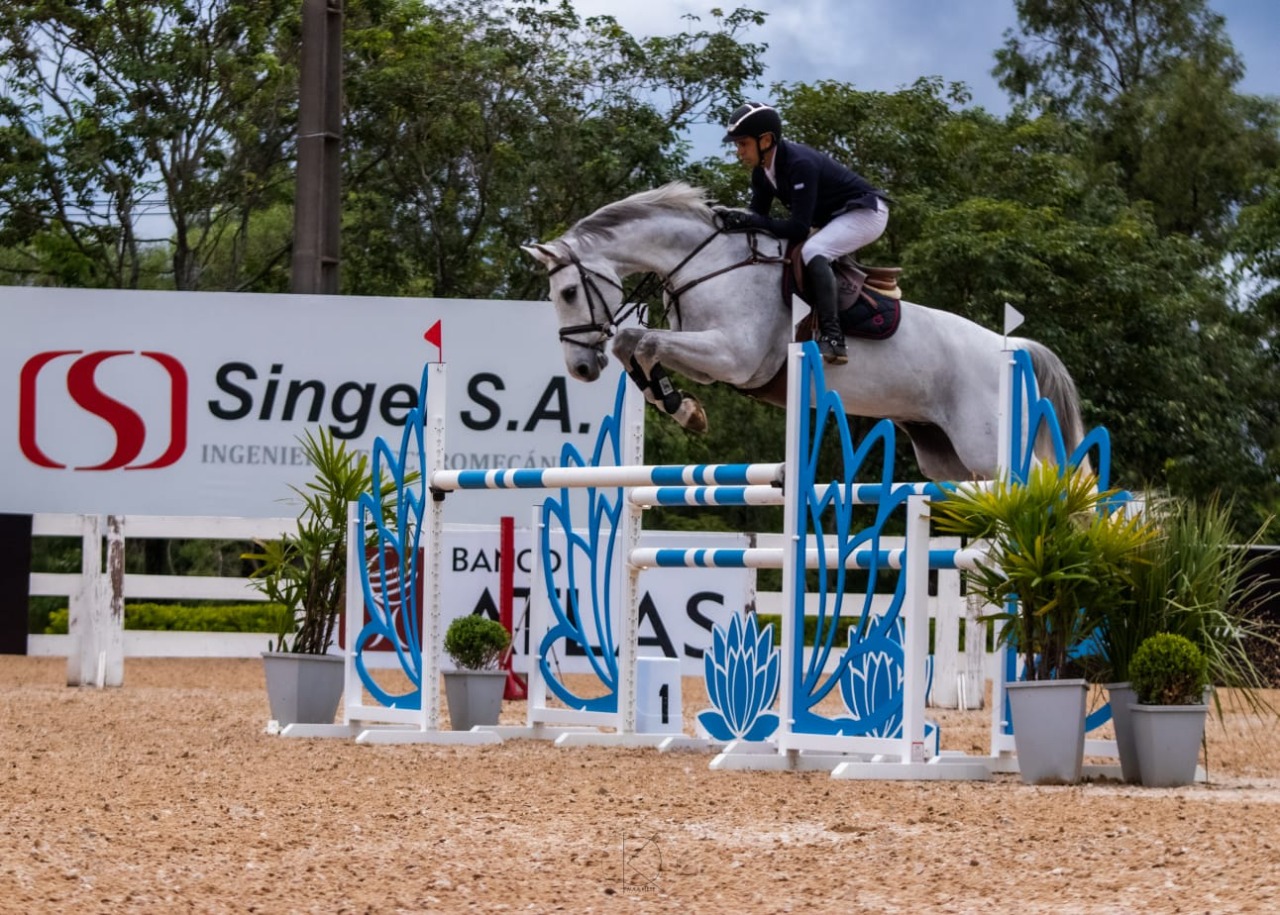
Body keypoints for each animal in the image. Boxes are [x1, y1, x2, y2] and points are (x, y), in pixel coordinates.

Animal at [519, 179, 1080, 478]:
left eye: (567, 294)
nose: (580, 368)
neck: (707, 262)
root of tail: (1015, 349)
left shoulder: (734, 357)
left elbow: (640, 338)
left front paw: (681, 408)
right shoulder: (709, 360)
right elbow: (636, 345)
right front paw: (681, 406)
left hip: (989, 448)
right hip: (946, 457)